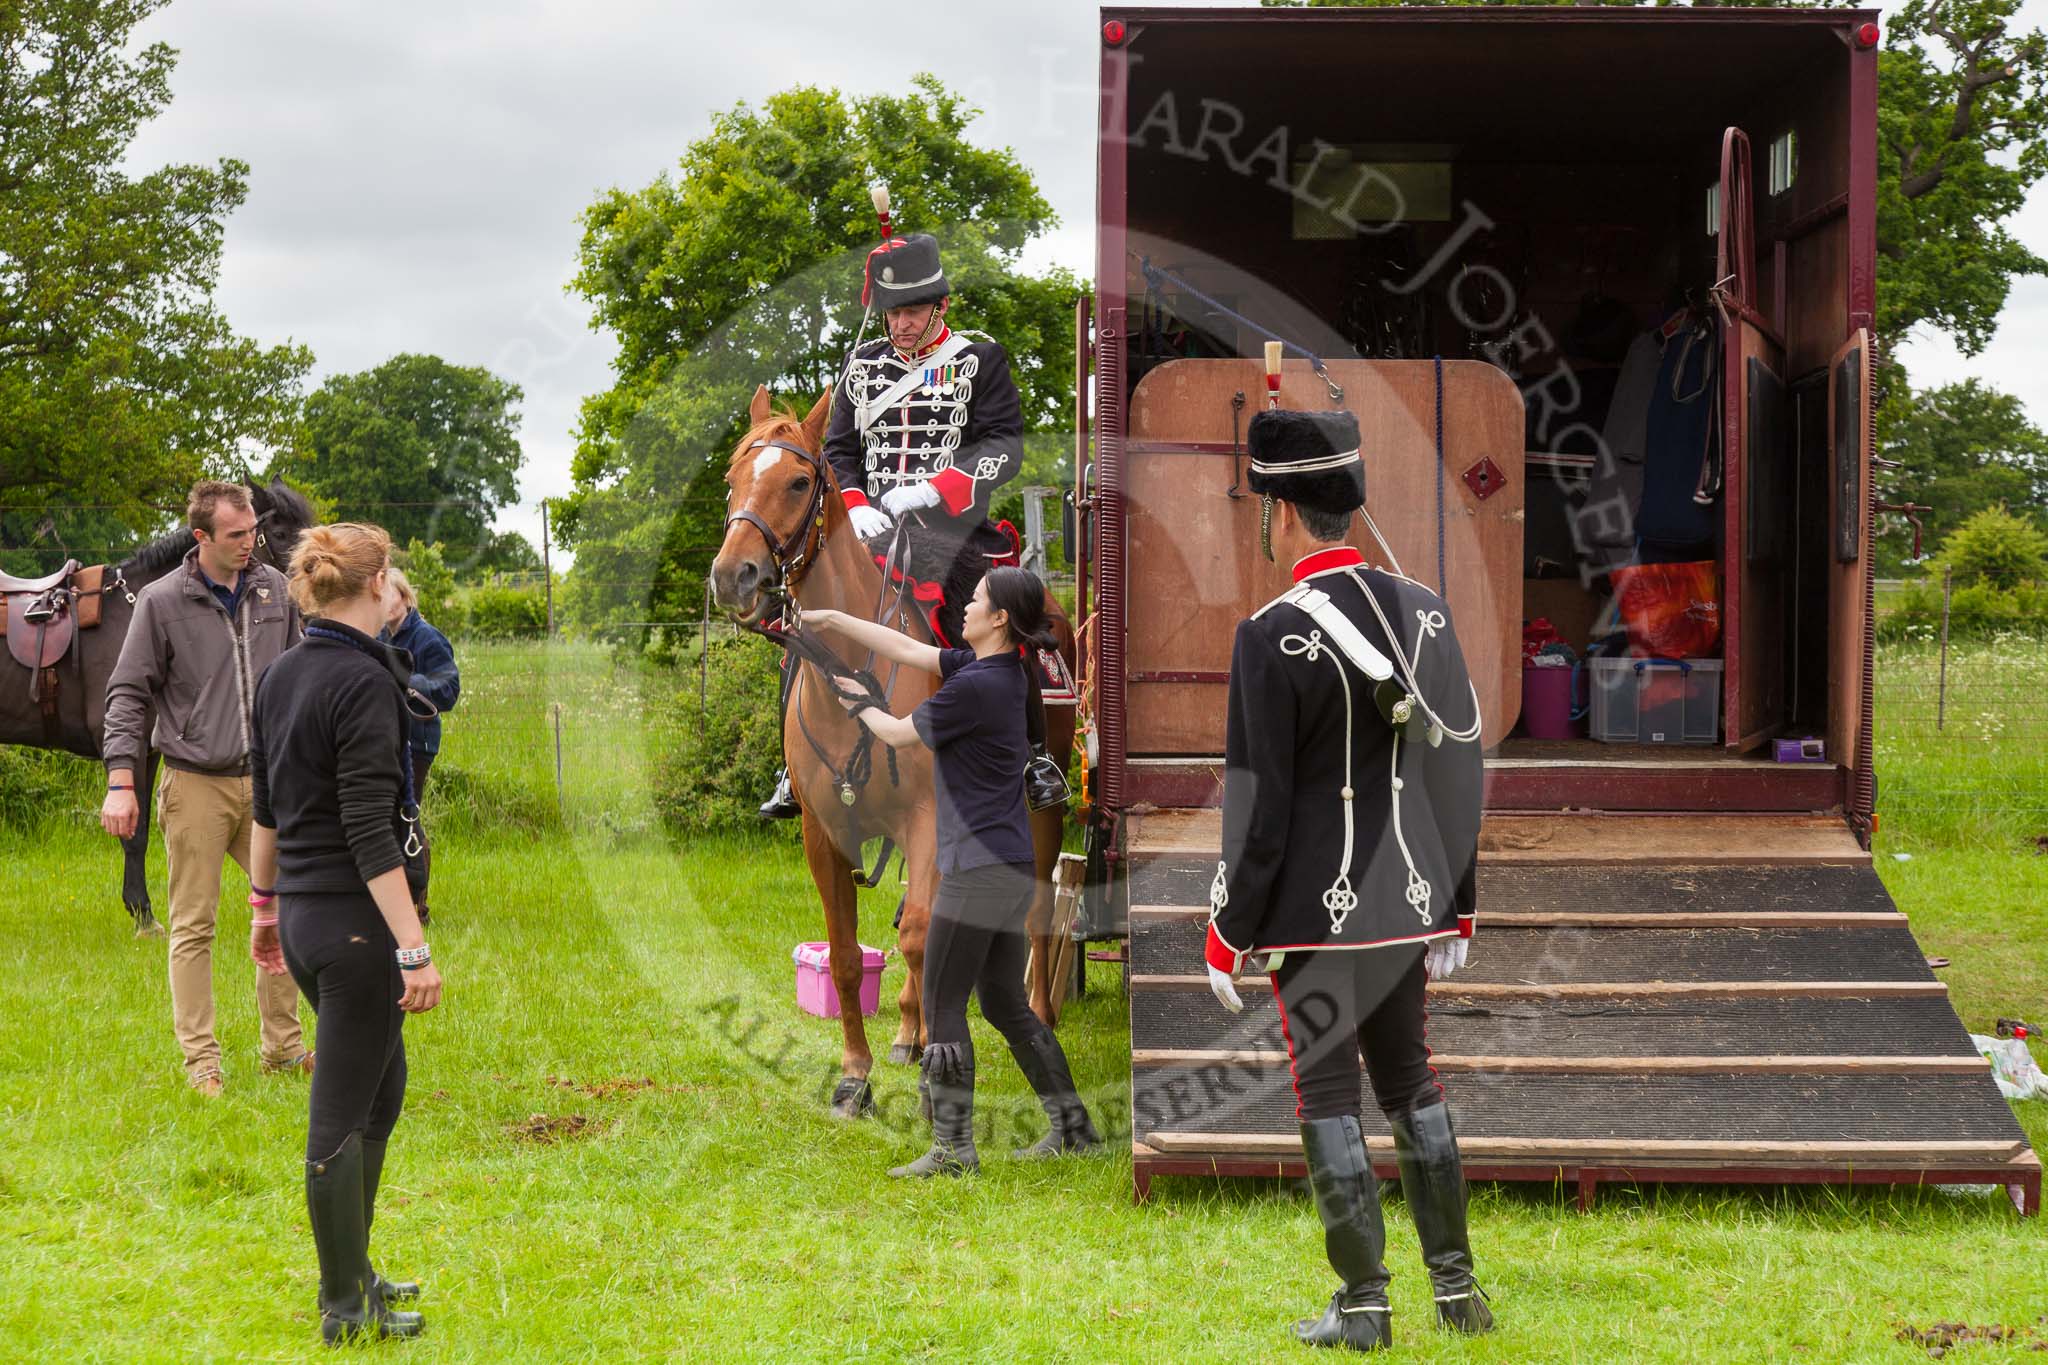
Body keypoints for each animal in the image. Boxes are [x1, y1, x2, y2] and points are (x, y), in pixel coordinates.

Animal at [712, 386, 1081, 1121]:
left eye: (797, 482)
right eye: (732, 479)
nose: (732, 575)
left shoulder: (929, 819)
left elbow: (917, 936)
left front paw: (935, 1070)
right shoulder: (824, 833)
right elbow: (849, 954)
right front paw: (857, 1077)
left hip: (1042, 816)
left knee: (1034, 913)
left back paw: (1038, 1014)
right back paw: (910, 1030)